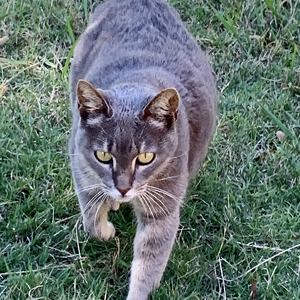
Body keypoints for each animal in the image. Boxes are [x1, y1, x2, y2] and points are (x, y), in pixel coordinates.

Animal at [69, 0, 217, 298]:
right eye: (103, 155)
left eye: (146, 157)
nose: (124, 188)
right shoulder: (80, 164)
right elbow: (91, 217)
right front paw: (106, 229)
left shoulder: (163, 207)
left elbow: (149, 263)